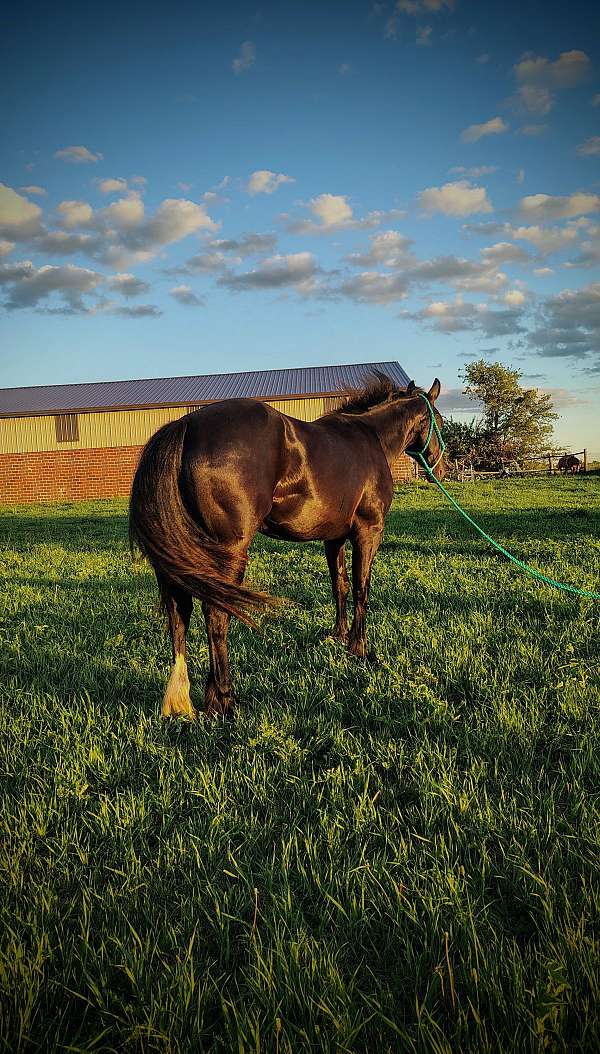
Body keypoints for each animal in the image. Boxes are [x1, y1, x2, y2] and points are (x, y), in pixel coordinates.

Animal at [129, 375, 445, 720]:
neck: (370, 437)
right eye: (440, 421)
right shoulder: (368, 532)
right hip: (229, 553)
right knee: (216, 614)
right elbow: (362, 588)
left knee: (178, 613)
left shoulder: (334, 538)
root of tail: (185, 424)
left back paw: (182, 697)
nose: (441, 470)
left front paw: (338, 636)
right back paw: (223, 699)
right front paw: (358, 647)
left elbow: (340, 585)